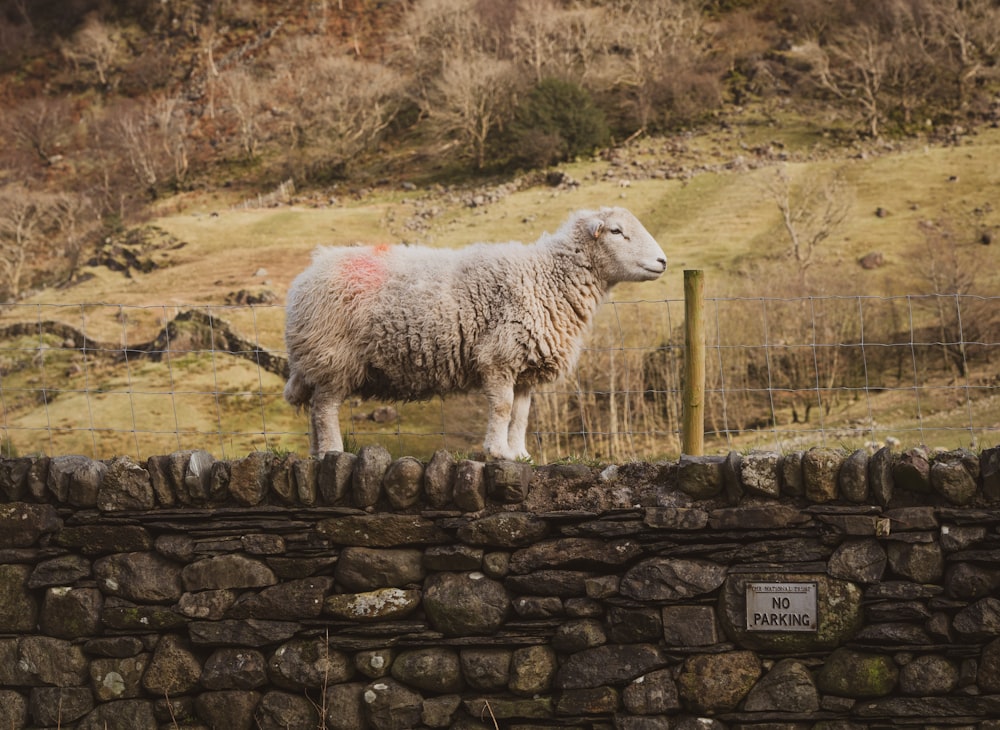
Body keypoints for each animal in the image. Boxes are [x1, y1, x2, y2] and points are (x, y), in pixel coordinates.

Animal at [286, 205, 668, 458]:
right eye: (616, 231)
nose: (663, 261)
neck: (546, 278)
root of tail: (309, 272)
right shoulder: (499, 356)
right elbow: (501, 408)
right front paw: (497, 452)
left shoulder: (526, 366)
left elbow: (521, 415)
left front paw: (519, 455)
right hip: (332, 354)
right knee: (324, 408)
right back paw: (333, 452)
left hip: (320, 360)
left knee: (315, 409)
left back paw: (317, 454)